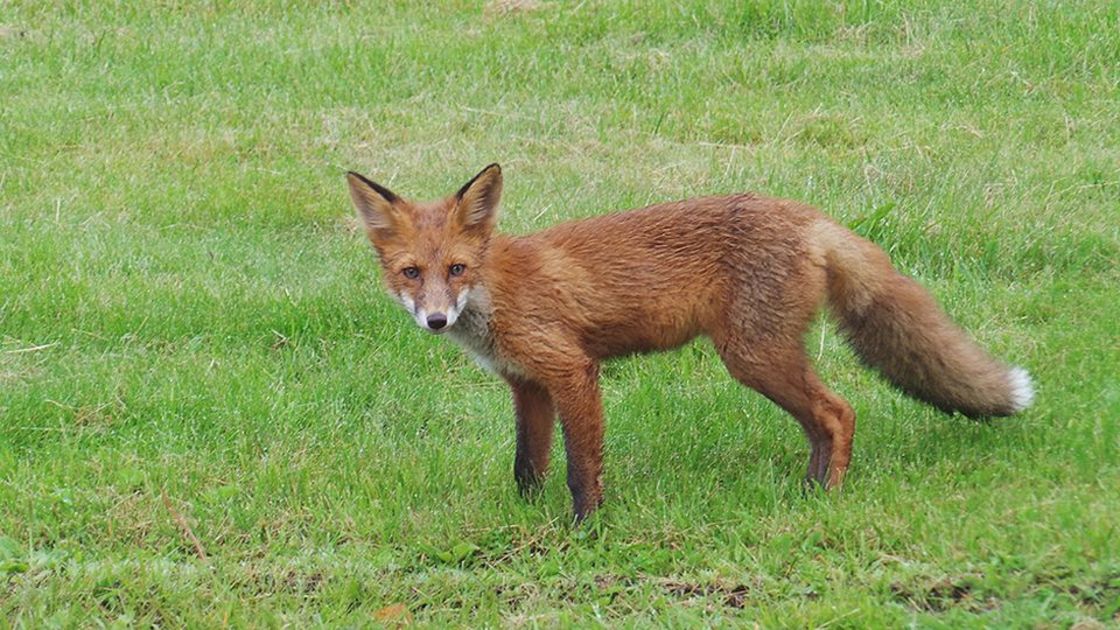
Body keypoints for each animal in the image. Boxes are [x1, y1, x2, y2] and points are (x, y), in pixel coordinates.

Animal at [344, 162, 1034, 520]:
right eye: (412, 273)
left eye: (457, 269)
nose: (436, 320)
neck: (496, 291)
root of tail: (809, 216)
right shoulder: (527, 385)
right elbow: (526, 466)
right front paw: (525, 519)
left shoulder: (571, 370)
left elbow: (579, 468)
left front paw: (585, 531)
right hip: (766, 358)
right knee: (823, 422)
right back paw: (809, 491)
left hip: (752, 357)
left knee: (840, 412)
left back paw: (828, 497)